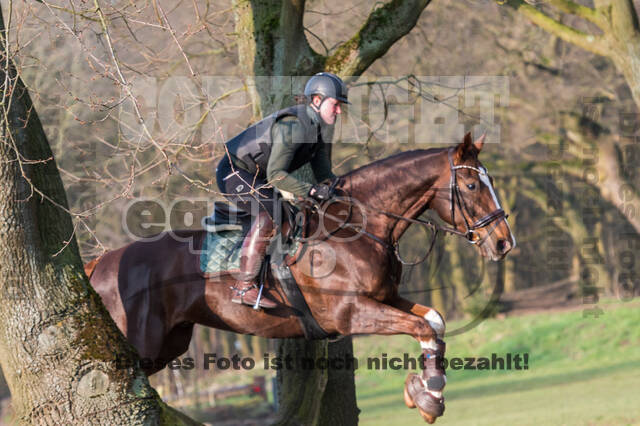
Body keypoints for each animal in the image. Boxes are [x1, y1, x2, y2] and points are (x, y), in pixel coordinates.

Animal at [86, 134, 516, 422]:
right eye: (472, 184)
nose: (503, 243)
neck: (357, 227)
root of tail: (102, 264)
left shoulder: (384, 298)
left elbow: (434, 321)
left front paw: (425, 391)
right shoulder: (351, 313)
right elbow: (422, 328)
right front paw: (428, 399)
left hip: (169, 344)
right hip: (142, 344)